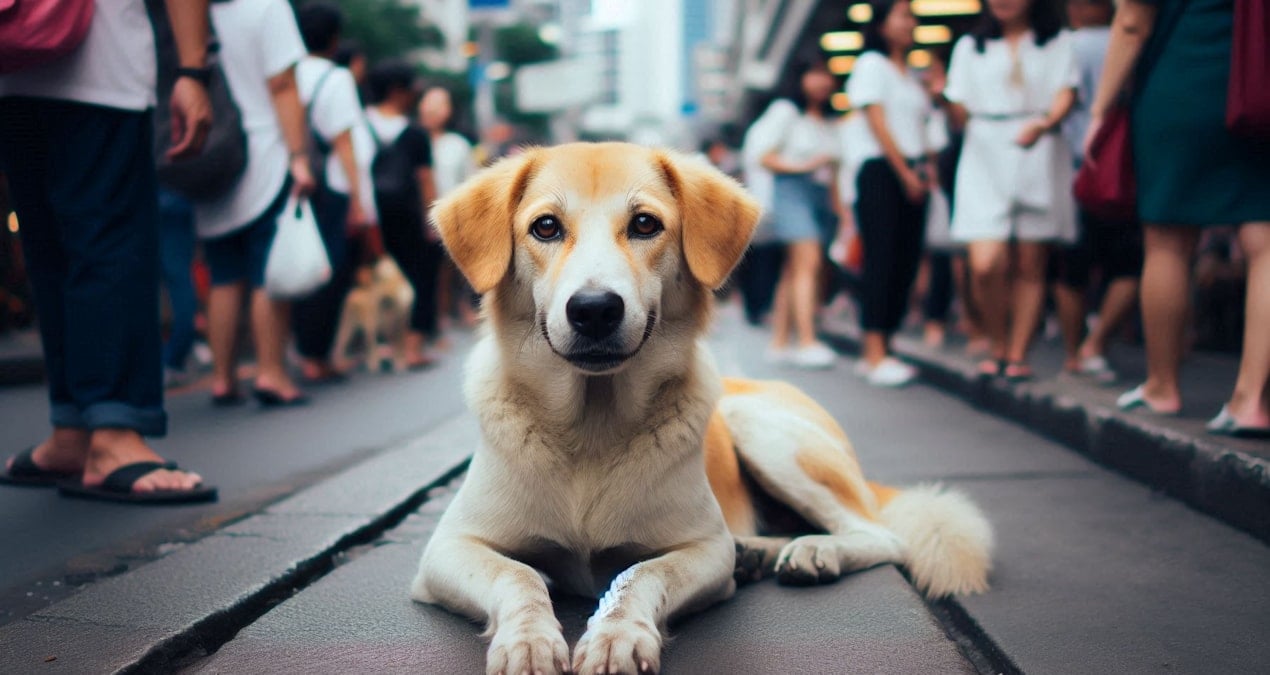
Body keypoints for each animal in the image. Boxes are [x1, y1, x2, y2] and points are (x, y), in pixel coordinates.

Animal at [411, 144, 995, 675]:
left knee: (878, 534)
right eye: (546, 227)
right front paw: (528, 640)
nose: (595, 309)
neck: (593, 425)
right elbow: (520, 574)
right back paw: (758, 553)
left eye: (645, 224)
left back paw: (814, 552)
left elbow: (641, 575)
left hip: (763, 432)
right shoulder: (447, 548)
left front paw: (618, 635)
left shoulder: (704, 550)